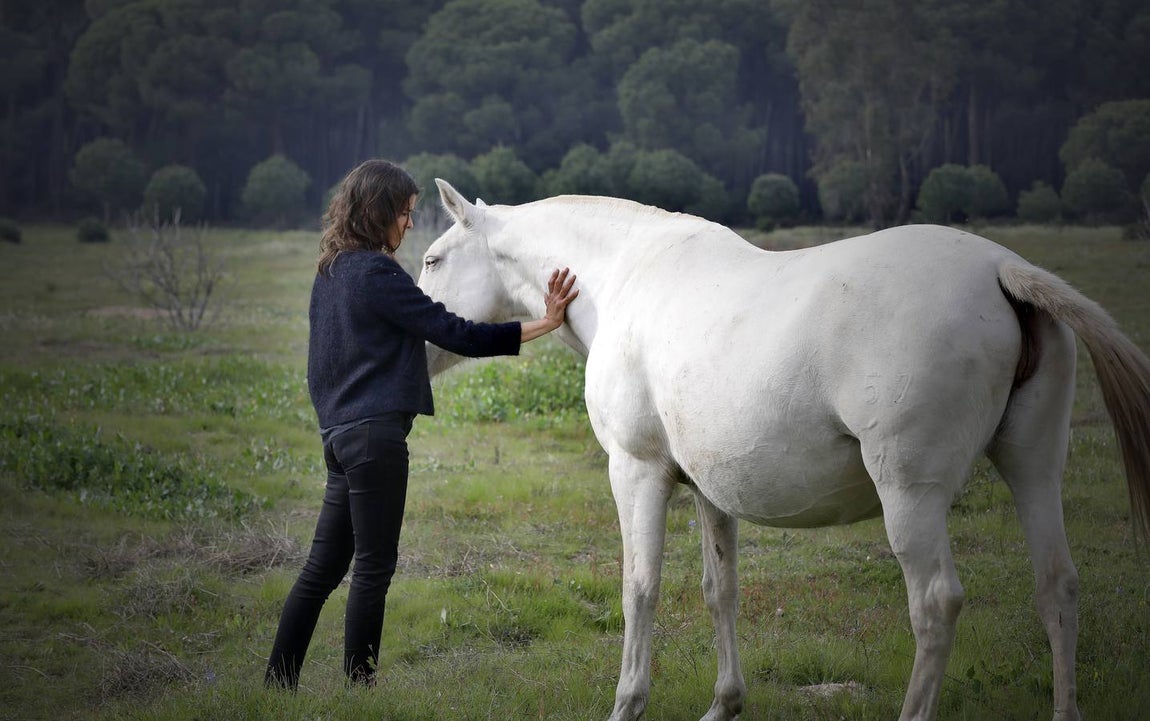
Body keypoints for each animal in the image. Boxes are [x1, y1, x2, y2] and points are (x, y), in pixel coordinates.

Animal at [416, 179, 1150, 721]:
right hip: (1034, 468)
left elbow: (639, 589)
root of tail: (1001, 269)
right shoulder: (708, 490)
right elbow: (720, 591)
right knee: (1058, 585)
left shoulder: (637, 472)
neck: (622, 275)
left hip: (909, 493)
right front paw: (724, 702)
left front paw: (628, 702)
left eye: (431, 259)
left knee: (936, 604)